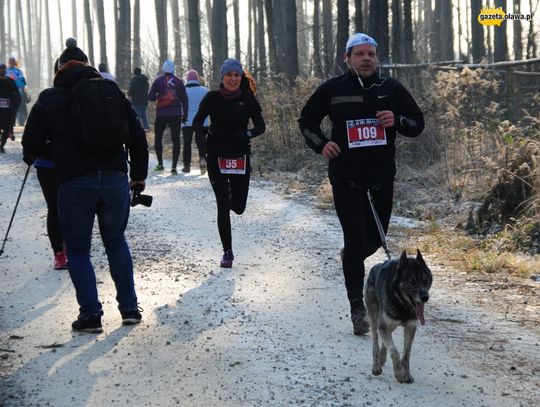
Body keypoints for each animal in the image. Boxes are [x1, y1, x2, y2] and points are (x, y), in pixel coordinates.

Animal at [364, 250, 432, 384]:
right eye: (411, 281)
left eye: (426, 280)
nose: (425, 297)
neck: (402, 304)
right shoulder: (383, 326)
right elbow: (395, 352)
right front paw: (399, 374)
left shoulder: (410, 327)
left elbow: (406, 354)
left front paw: (406, 375)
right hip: (374, 319)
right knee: (375, 342)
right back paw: (376, 366)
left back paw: (382, 357)